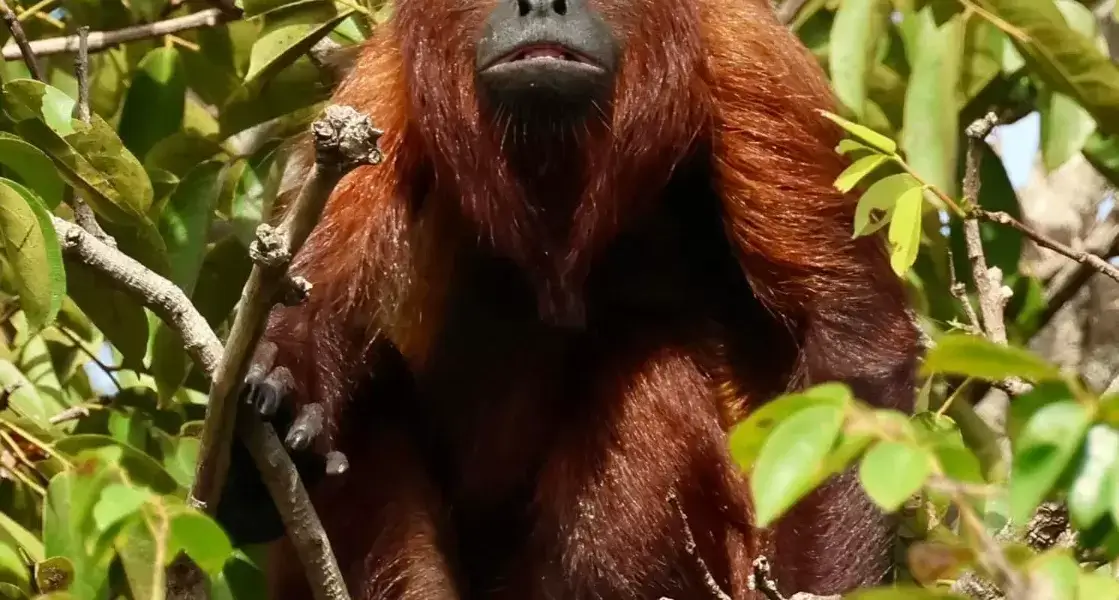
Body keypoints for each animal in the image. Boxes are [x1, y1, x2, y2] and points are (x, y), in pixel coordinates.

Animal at [214, 0, 921, 598]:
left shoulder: (744, 54)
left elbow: (848, 338)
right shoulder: (384, 85)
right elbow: (316, 286)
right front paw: (280, 394)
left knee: (649, 370)